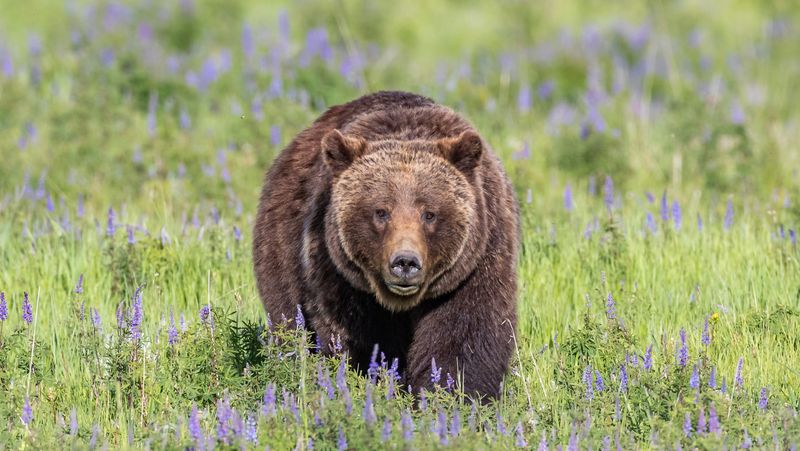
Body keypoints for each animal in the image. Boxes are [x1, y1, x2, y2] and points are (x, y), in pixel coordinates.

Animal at [253, 92, 520, 400]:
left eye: (429, 213)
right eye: (381, 212)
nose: (405, 262)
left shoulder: (474, 265)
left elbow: (464, 336)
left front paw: (452, 394)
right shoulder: (340, 275)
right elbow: (360, 338)